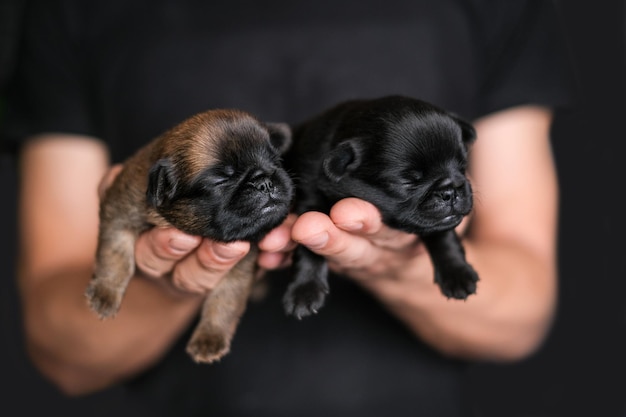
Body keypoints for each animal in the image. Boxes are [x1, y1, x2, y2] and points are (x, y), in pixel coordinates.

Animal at [83, 109, 294, 362]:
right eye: (221, 180)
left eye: (276, 161)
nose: (265, 182)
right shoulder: (119, 210)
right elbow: (115, 255)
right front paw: (106, 292)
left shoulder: (240, 267)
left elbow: (225, 300)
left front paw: (210, 337)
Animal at [282, 95, 478, 318]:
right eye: (407, 182)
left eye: (462, 166)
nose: (450, 191)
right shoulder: (310, 200)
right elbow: (308, 248)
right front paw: (304, 289)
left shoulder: (439, 222)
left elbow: (444, 236)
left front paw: (457, 273)